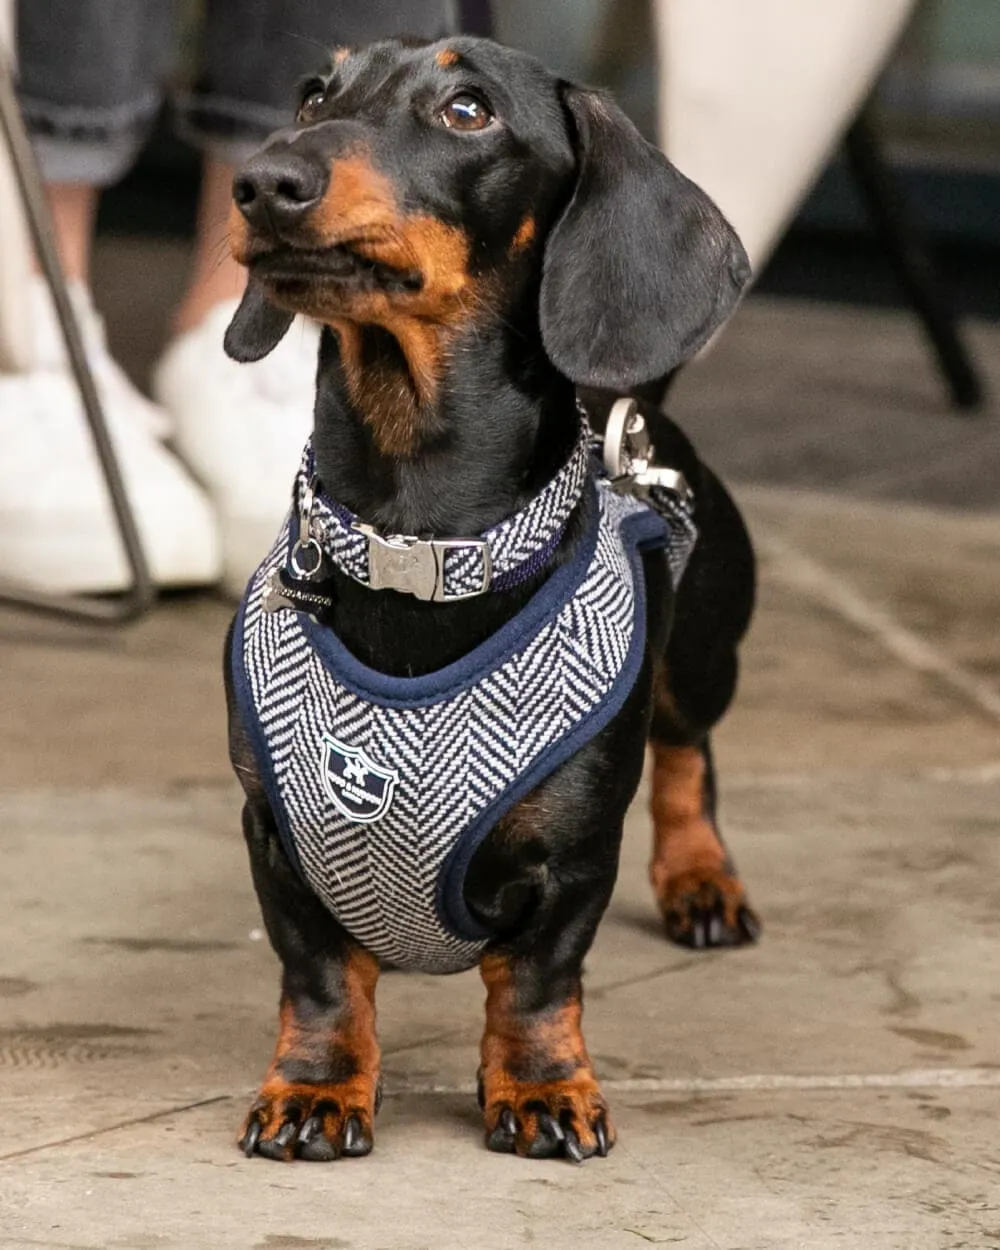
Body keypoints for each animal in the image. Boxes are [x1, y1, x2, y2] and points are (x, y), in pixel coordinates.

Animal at [222, 34, 760, 1165]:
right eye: (315, 93)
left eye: (468, 109)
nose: (262, 182)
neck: (419, 543)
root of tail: (632, 410)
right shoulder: (275, 838)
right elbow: (322, 980)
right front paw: (316, 1088)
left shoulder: (574, 859)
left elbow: (537, 984)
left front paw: (545, 1086)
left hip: (699, 661)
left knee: (690, 754)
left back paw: (702, 877)